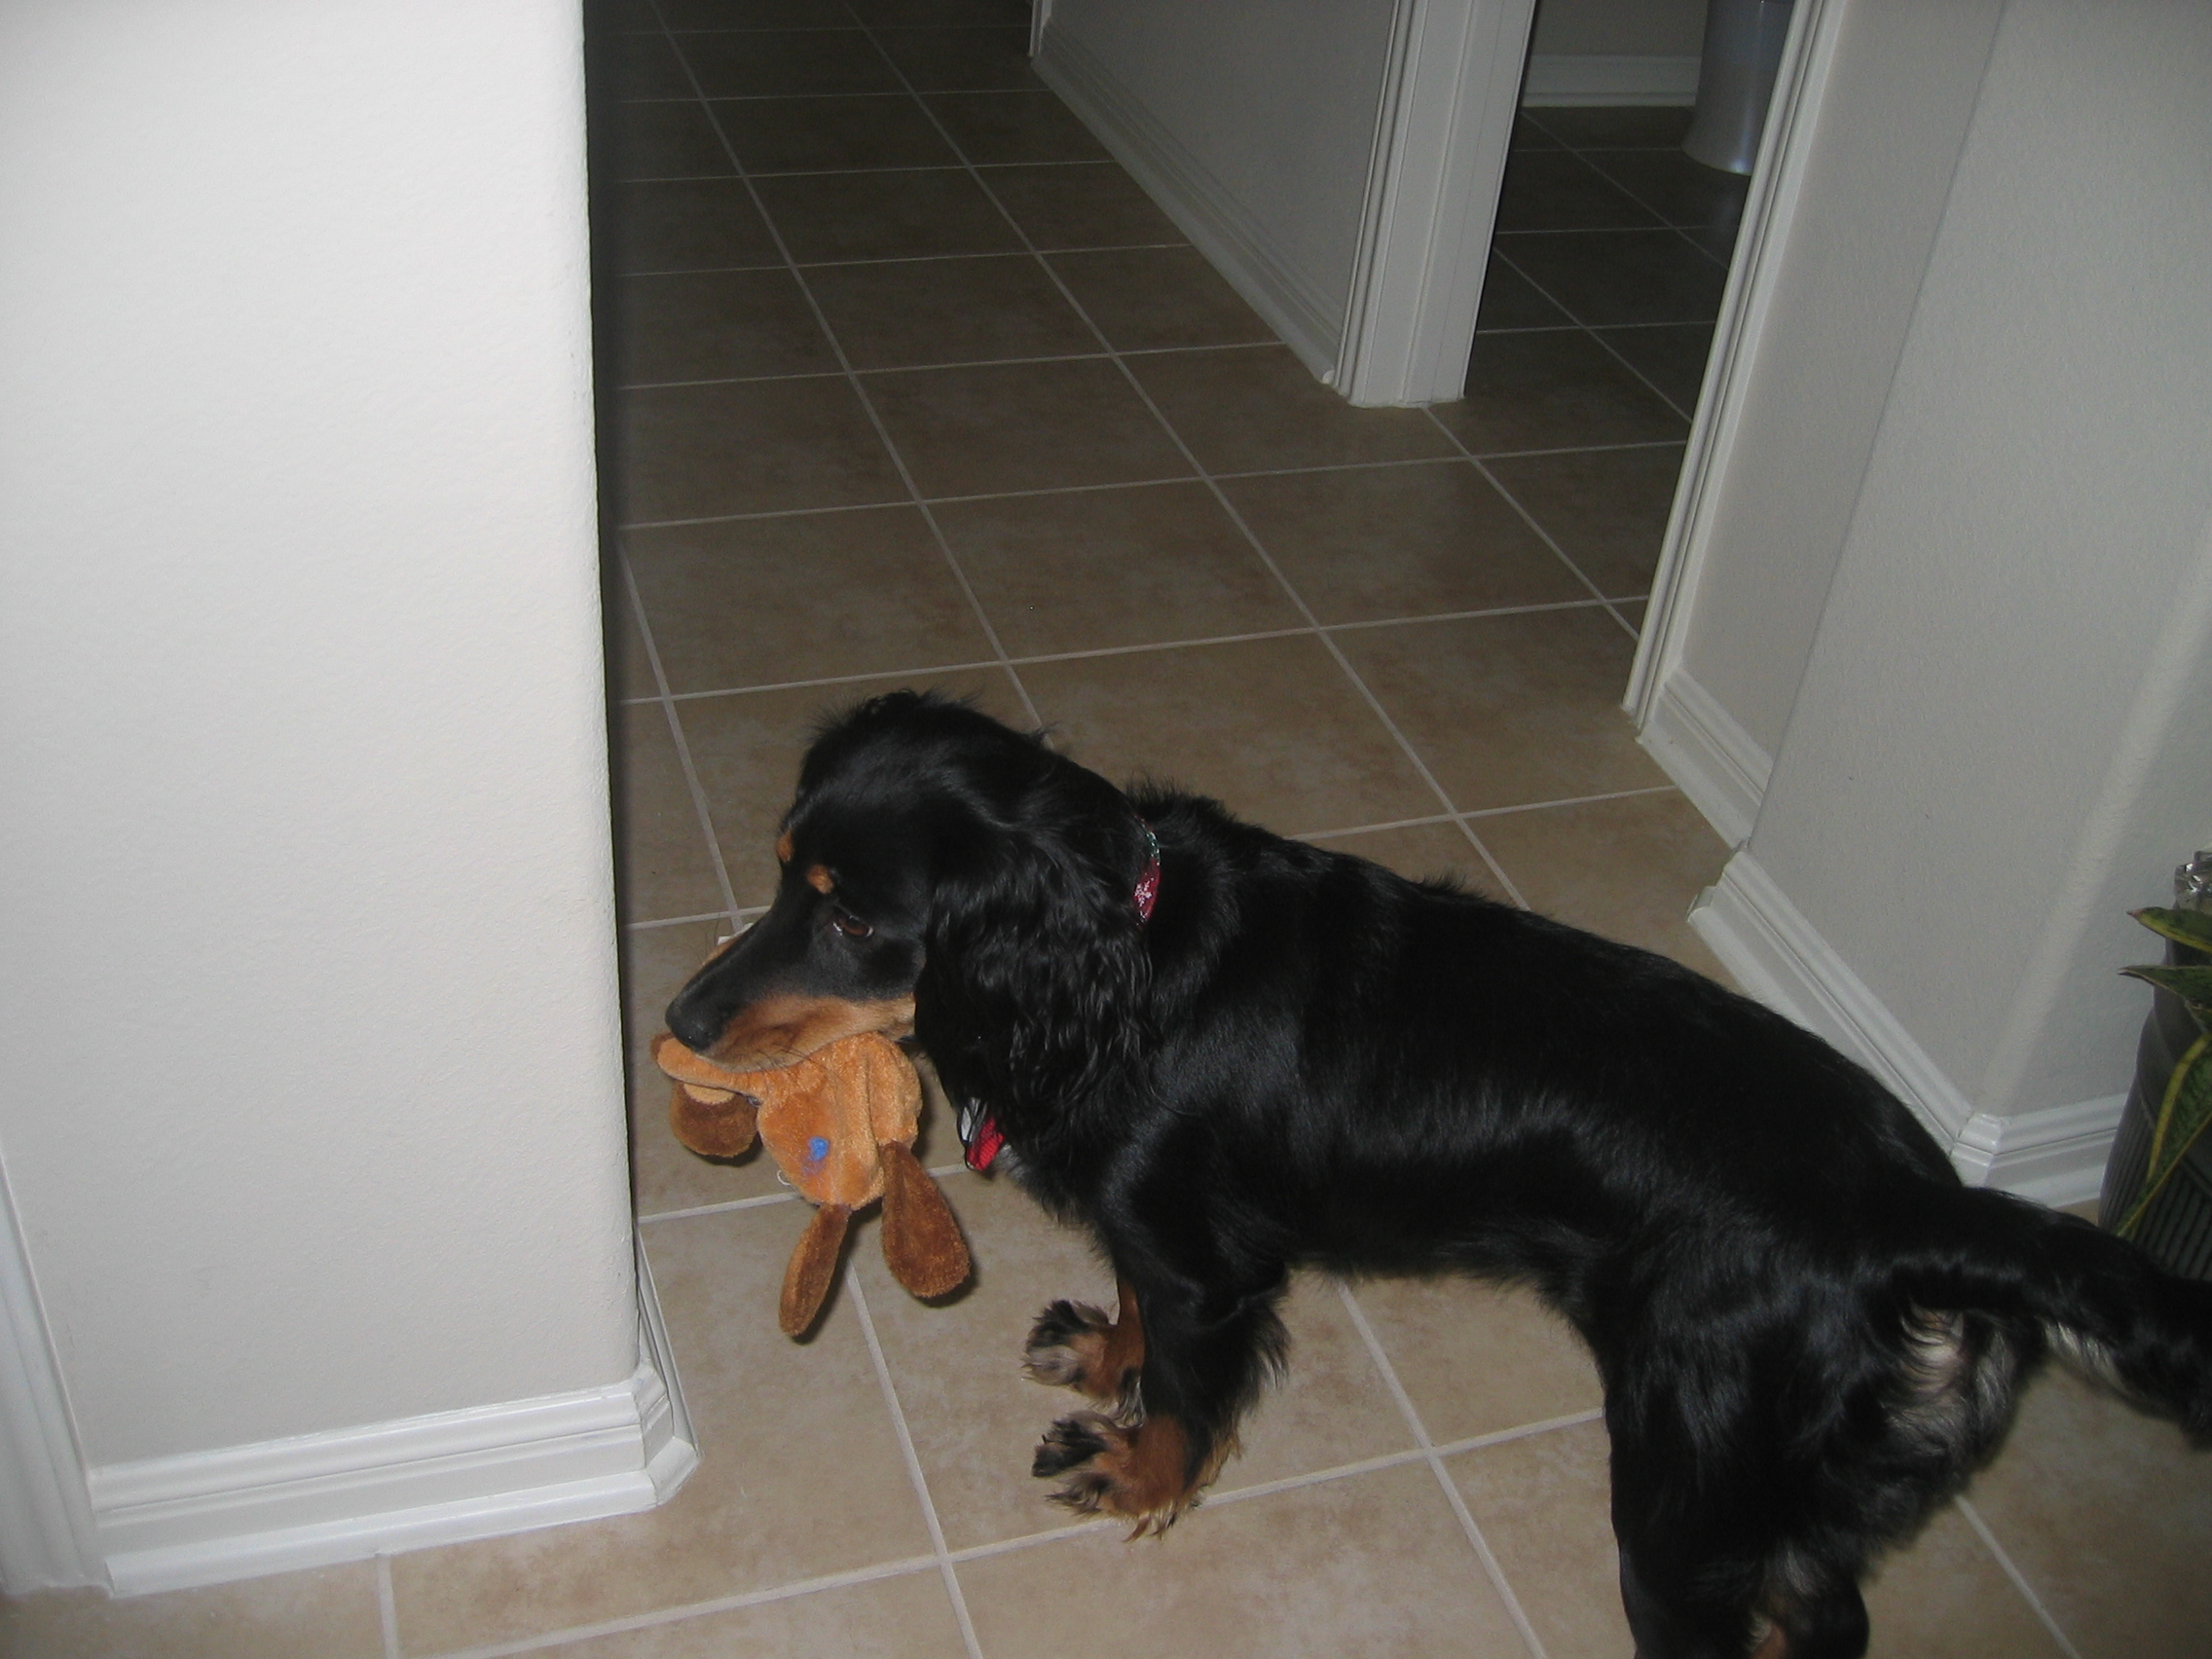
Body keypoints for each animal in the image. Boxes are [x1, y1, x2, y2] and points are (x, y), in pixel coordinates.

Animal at [668, 689, 2212, 1659]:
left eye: (855, 920)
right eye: (782, 873)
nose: (679, 1017)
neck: (1125, 957)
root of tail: (1919, 1208)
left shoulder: (1205, 1260)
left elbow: (1190, 1392)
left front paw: (1137, 1469)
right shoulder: (1162, 1230)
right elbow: (1143, 1316)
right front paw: (1107, 1355)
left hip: (1686, 1494)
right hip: (1795, 1490)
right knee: (1827, 1620)